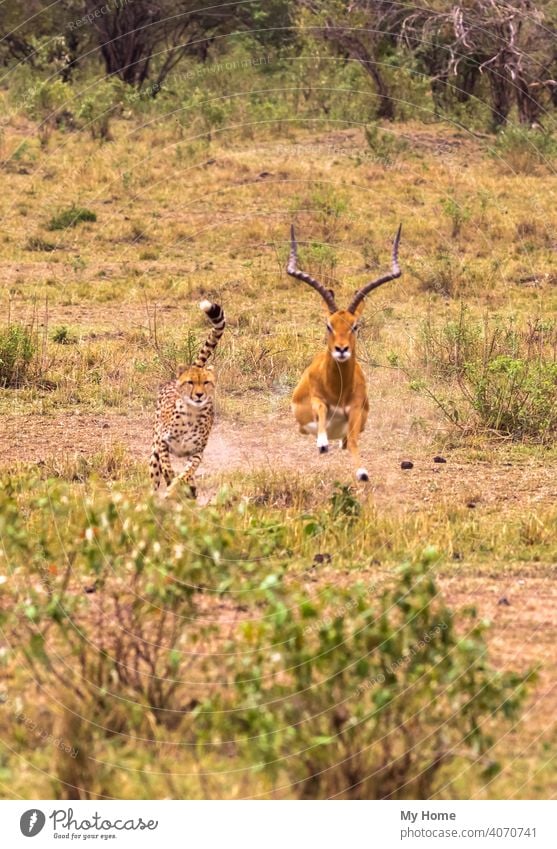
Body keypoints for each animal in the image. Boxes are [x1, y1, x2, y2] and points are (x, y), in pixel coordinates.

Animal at [150, 300, 226, 494]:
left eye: (206, 382)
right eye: (191, 382)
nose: (199, 395)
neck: (192, 412)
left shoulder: (196, 452)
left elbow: (189, 470)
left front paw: (182, 482)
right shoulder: (162, 442)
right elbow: (167, 465)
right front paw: (171, 477)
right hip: (153, 450)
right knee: (154, 474)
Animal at [286, 222, 400, 480]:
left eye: (355, 326)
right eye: (328, 325)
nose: (341, 349)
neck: (337, 388)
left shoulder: (356, 411)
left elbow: (355, 442)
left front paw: (362, 472)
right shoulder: (318, 400)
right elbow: (320, 412)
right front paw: (322, 443)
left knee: (347, 441)